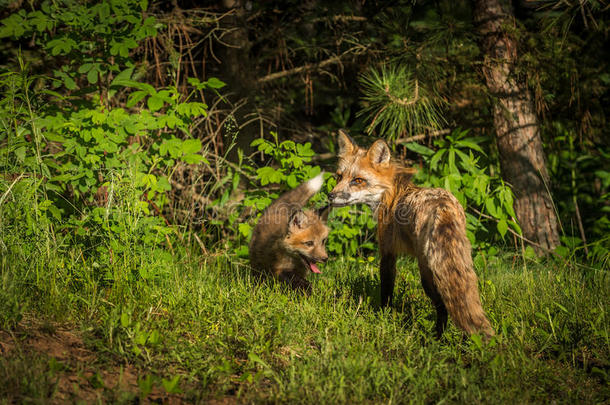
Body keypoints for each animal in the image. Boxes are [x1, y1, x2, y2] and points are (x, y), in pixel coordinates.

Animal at [328, 130, 494, 338]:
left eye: (358, 180)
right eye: (339, 177)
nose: (330, 196)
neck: (392, 197)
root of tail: (443, 206)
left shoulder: (388, 252)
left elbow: (386, 291)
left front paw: (383, 317)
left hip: (427, 272)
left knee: (443, 306)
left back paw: (437, 338)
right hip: (461, 263)